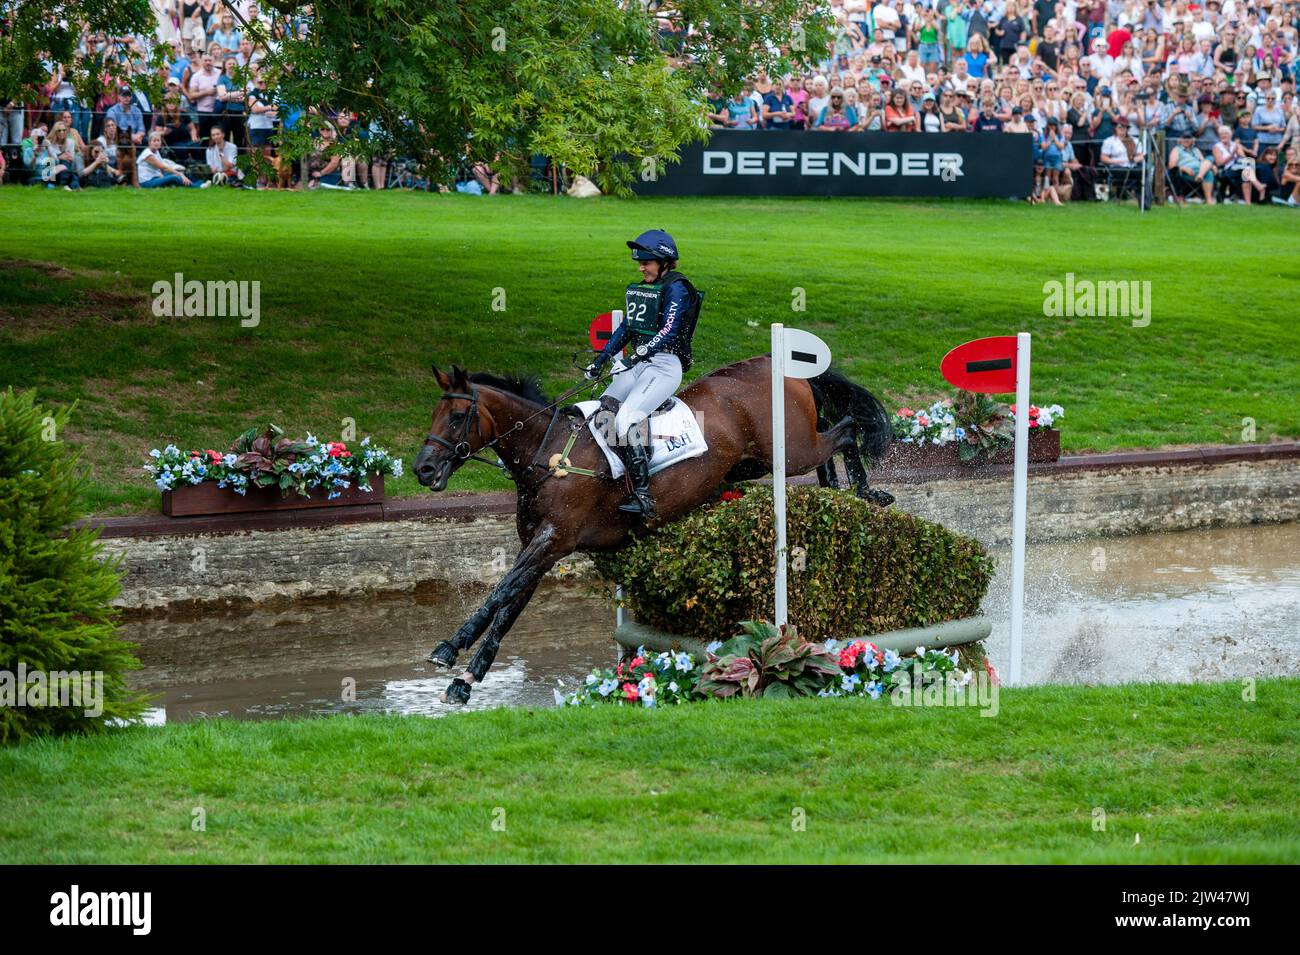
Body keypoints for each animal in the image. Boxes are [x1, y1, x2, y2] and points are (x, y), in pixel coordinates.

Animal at [416, 356, 894, 706]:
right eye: (435, 413)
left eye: (456, 416)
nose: (423, 470)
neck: (548, 454)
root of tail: (779, 366)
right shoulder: (543, 548)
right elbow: (509, 607)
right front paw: (466, 679)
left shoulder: (553, 539)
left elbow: (500, 592)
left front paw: (449, 649)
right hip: (756, 462)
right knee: (832, 441)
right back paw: (840, 492)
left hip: (791, 450)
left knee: (846, 430)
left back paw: (865, 491)